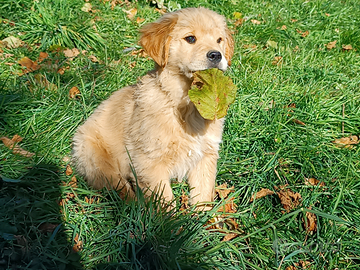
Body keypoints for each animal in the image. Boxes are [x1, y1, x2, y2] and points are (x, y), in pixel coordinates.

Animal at [72, 7, 235, 208]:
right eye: (190, 38)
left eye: (219, 40)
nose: (216, 55)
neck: (186, 105)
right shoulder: (149, 160)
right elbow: (164, 199)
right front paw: (171, 218)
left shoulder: (206, 154)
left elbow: (203, 193)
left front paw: (204, 217)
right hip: (96, 159)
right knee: (116, 185)